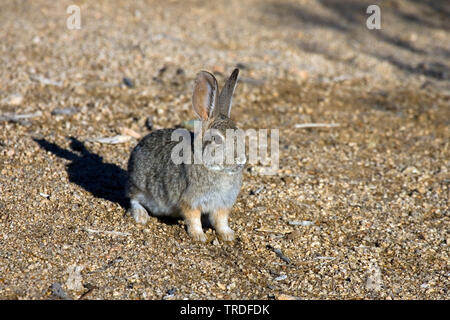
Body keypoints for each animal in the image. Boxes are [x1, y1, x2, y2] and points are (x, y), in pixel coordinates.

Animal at [125, 68, 246, 242]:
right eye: (216, 139)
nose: (241, 160)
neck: (214, 169)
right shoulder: (190, 200)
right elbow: (193, 219)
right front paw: (199, 236)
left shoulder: (222, 204)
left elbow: (221, 220)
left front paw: (228, 235)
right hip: (139, 184)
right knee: (133, 198)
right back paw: (141, 216)